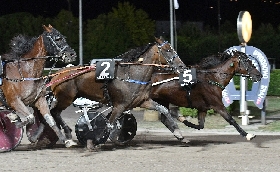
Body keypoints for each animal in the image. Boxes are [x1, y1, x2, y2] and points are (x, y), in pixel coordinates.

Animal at [27, 37, 186, 147]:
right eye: (168, 50)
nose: (181, 66)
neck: (131, 74)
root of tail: (57, 73)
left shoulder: (143, 101)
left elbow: (164, 110)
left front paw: (179, 134)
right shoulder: (119, 105)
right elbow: (109, 124)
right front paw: (97, 140)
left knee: (50, 114)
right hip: (65, 97)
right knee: (53, 112)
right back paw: (64, 136)